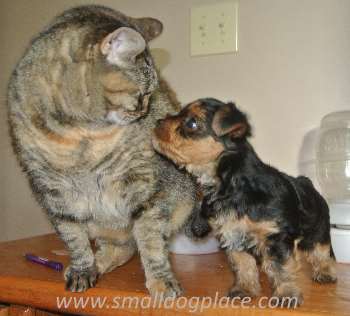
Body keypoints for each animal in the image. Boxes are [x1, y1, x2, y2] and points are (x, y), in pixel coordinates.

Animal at [152, 99, 336, 306]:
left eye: (192, 123)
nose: (157, 122)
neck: (231, 186)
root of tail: (306, 182)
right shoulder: (233, 235)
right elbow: (243, 265)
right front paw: (245, 289)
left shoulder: (276, 236)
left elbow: (281, 267)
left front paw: (286, 294)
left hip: (318, 229)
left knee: (321, 250)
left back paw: (325, 272)